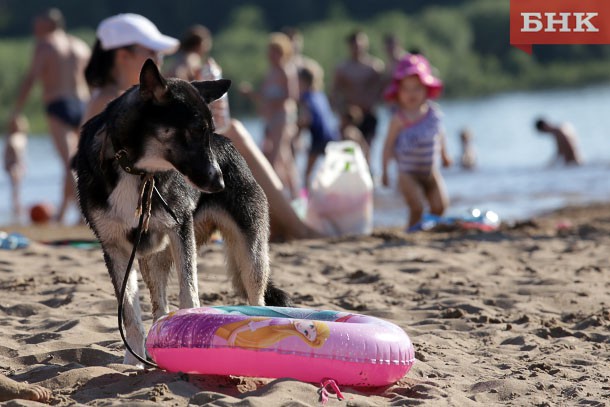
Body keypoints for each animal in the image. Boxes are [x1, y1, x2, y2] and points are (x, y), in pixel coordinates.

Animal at [72, 58, 290, 366]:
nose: (220, 183)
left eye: (208, 132)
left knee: (256, 300)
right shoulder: (115, 248)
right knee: (158, 306)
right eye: (196, 130)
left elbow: (189, 292)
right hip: (151, 257)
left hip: (251, 254)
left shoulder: (180, 231)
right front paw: (133, 360)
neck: (134, 170)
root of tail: (230, 145)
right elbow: (130, 313)